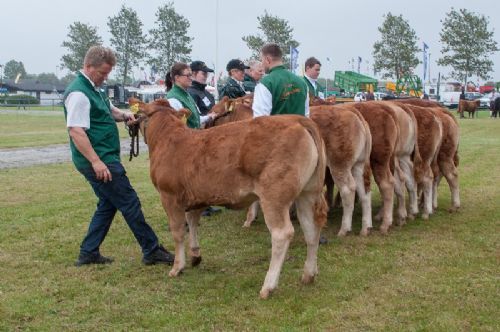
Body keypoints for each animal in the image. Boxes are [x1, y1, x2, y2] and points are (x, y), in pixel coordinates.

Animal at [133, 97, 328, 296]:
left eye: (138, 115)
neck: (167, 140)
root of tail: (297, 119)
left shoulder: (169, 197)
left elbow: (178, 231)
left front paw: (177, 267)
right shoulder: (195, 197)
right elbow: (193, 222)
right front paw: (195, 255)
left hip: (274, 196)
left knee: (282, 234)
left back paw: (268, 286)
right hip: (308, 193)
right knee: (311, 228)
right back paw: (308, 275)